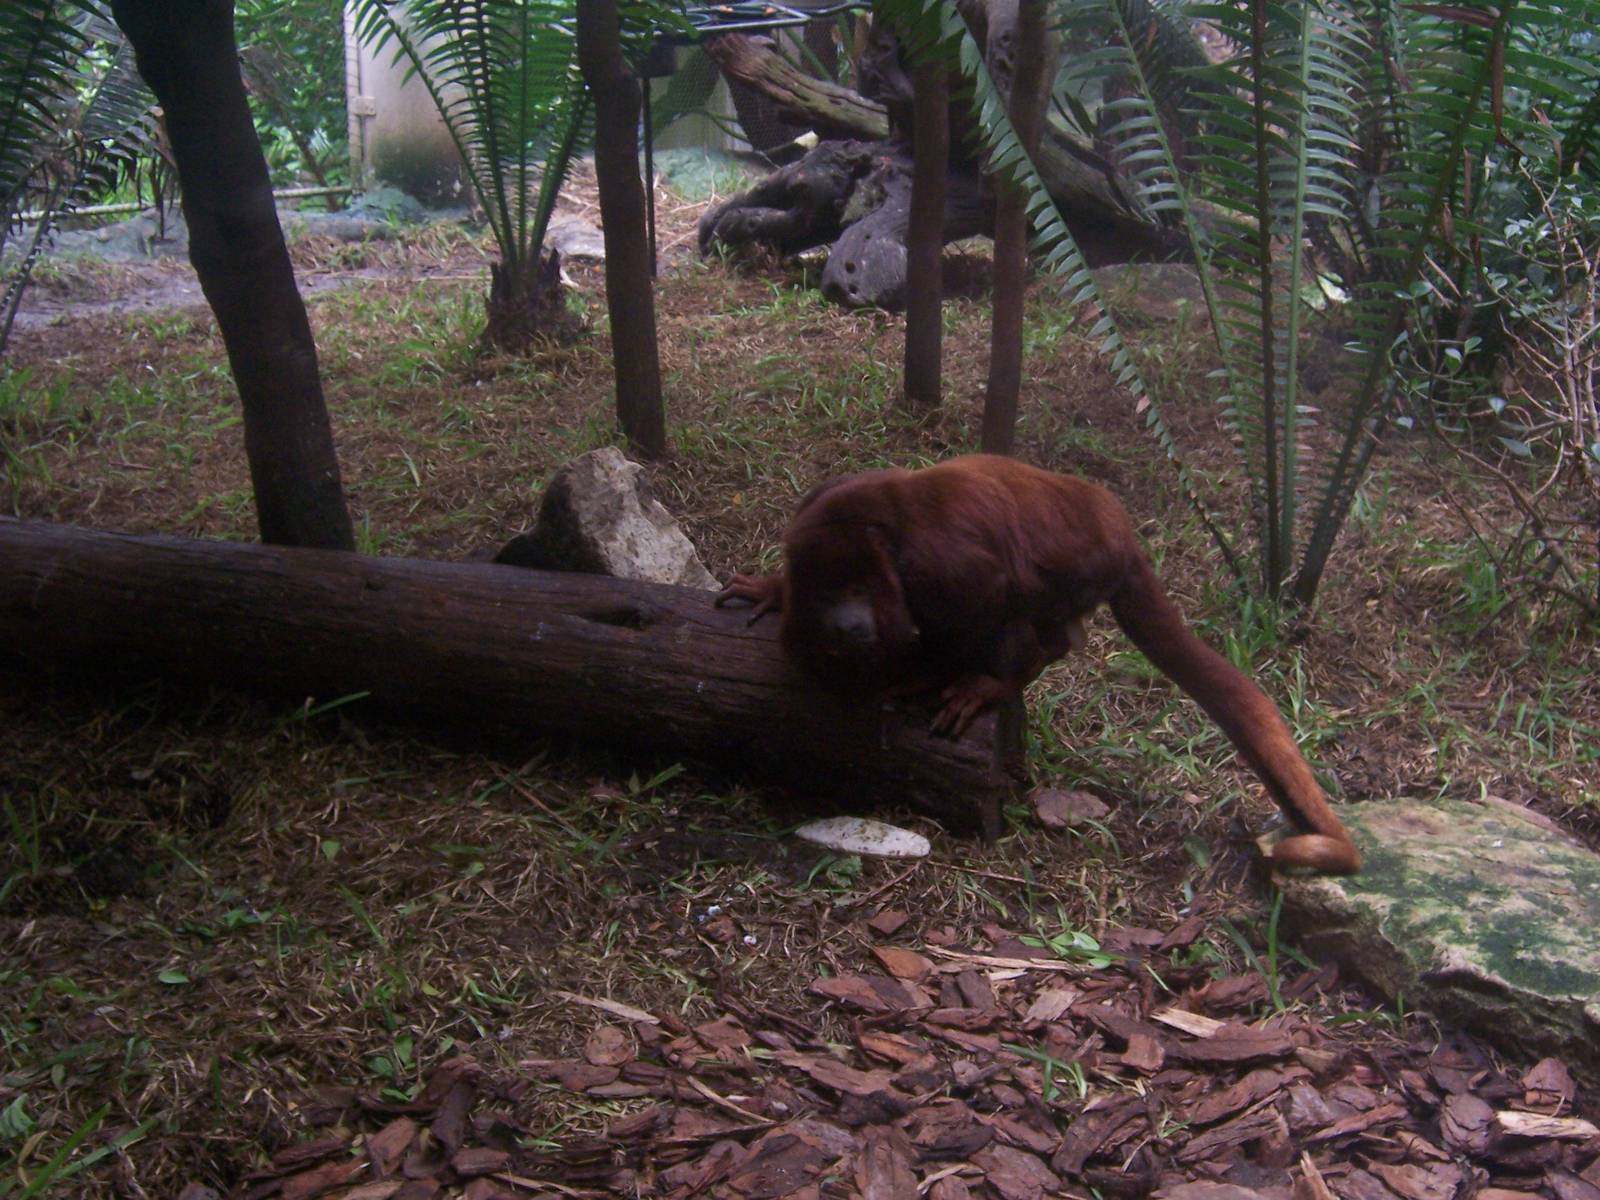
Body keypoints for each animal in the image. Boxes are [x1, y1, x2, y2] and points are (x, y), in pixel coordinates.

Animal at [716, 454, 1360, 875]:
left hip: (1080, 567)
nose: (848, 626)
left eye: (854, 587)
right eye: (824, 592)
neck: (881, 540)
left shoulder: (936, 567)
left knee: (1020, 603)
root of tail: (1121, 531)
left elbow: (988, 593)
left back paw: (1001, 673)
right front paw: (773, 589)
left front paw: (952, 676)